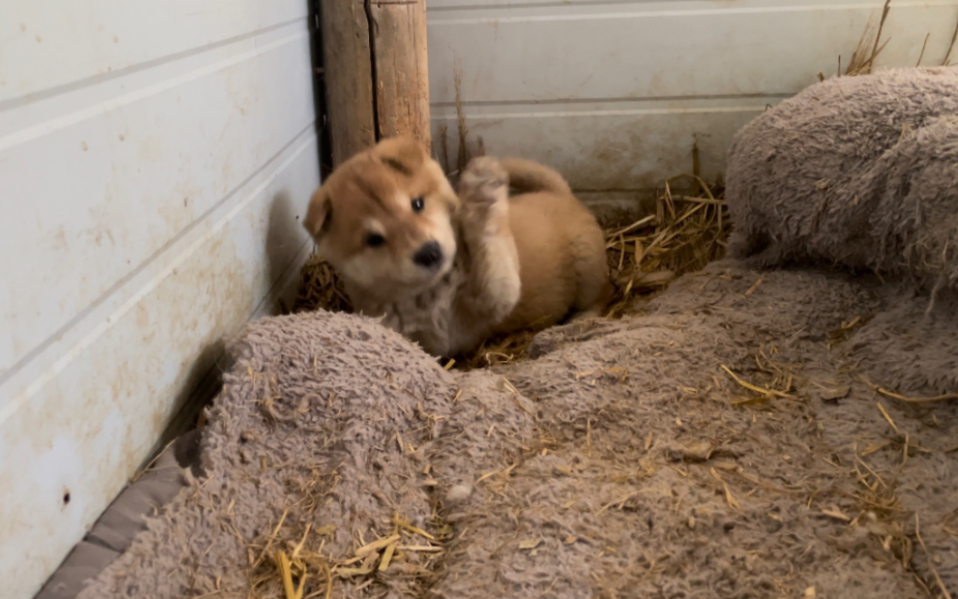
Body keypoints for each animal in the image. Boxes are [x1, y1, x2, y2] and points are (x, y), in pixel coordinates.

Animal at [304, 137, 612, 356]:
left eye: (417, 203)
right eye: (373, 239)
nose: (429, 252)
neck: (428, 295)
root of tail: (560, 194)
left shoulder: (497, 294)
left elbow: (489, 240)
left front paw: (482, 192)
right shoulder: (430, 342)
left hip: (587, 265)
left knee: (598, 298)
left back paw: (581, 319)